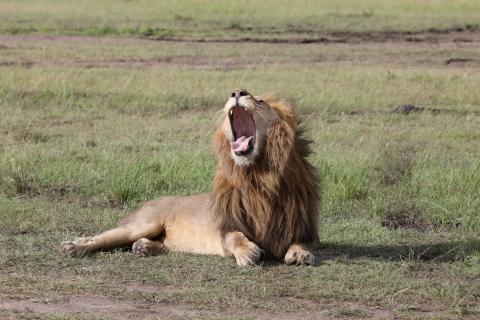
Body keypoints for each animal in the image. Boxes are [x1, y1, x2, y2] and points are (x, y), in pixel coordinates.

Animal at [62, 89, 320, 264]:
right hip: (143, 224)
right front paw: (248, 252)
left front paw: (300, 253)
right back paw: (73, 247)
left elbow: (303, 242)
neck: (259, 177)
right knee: (102, 237)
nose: (237, 92)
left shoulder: (302, 225)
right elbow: (235, 237)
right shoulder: (226, 226)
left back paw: (144, 248)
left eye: (261, 101)